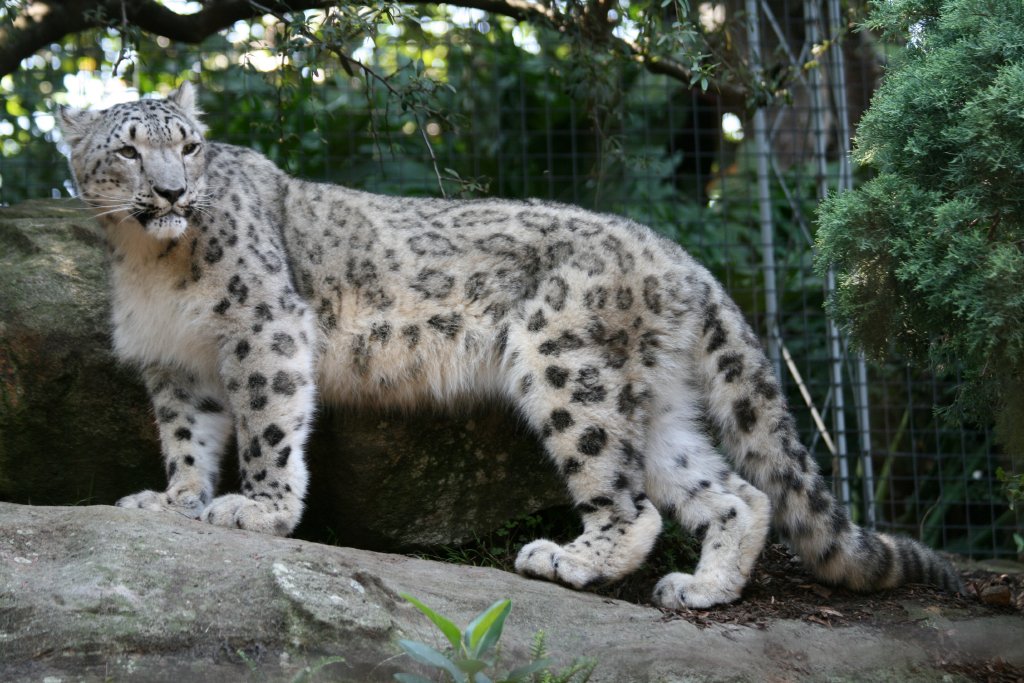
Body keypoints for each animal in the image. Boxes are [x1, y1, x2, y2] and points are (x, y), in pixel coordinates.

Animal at [56, 82, 962, 609]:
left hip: (563, 358)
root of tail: (677, 256)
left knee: (626, 497)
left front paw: (262, 508)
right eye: (128, 148)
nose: (173, 191)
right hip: (654, 399)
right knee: (735, 491)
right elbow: (187, 437)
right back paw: (699, 587)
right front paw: (174, 499)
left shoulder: (262, 326)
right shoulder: (176, 362)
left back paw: (570, 559)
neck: (149, 262)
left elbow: (266, 422)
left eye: (189, 143)